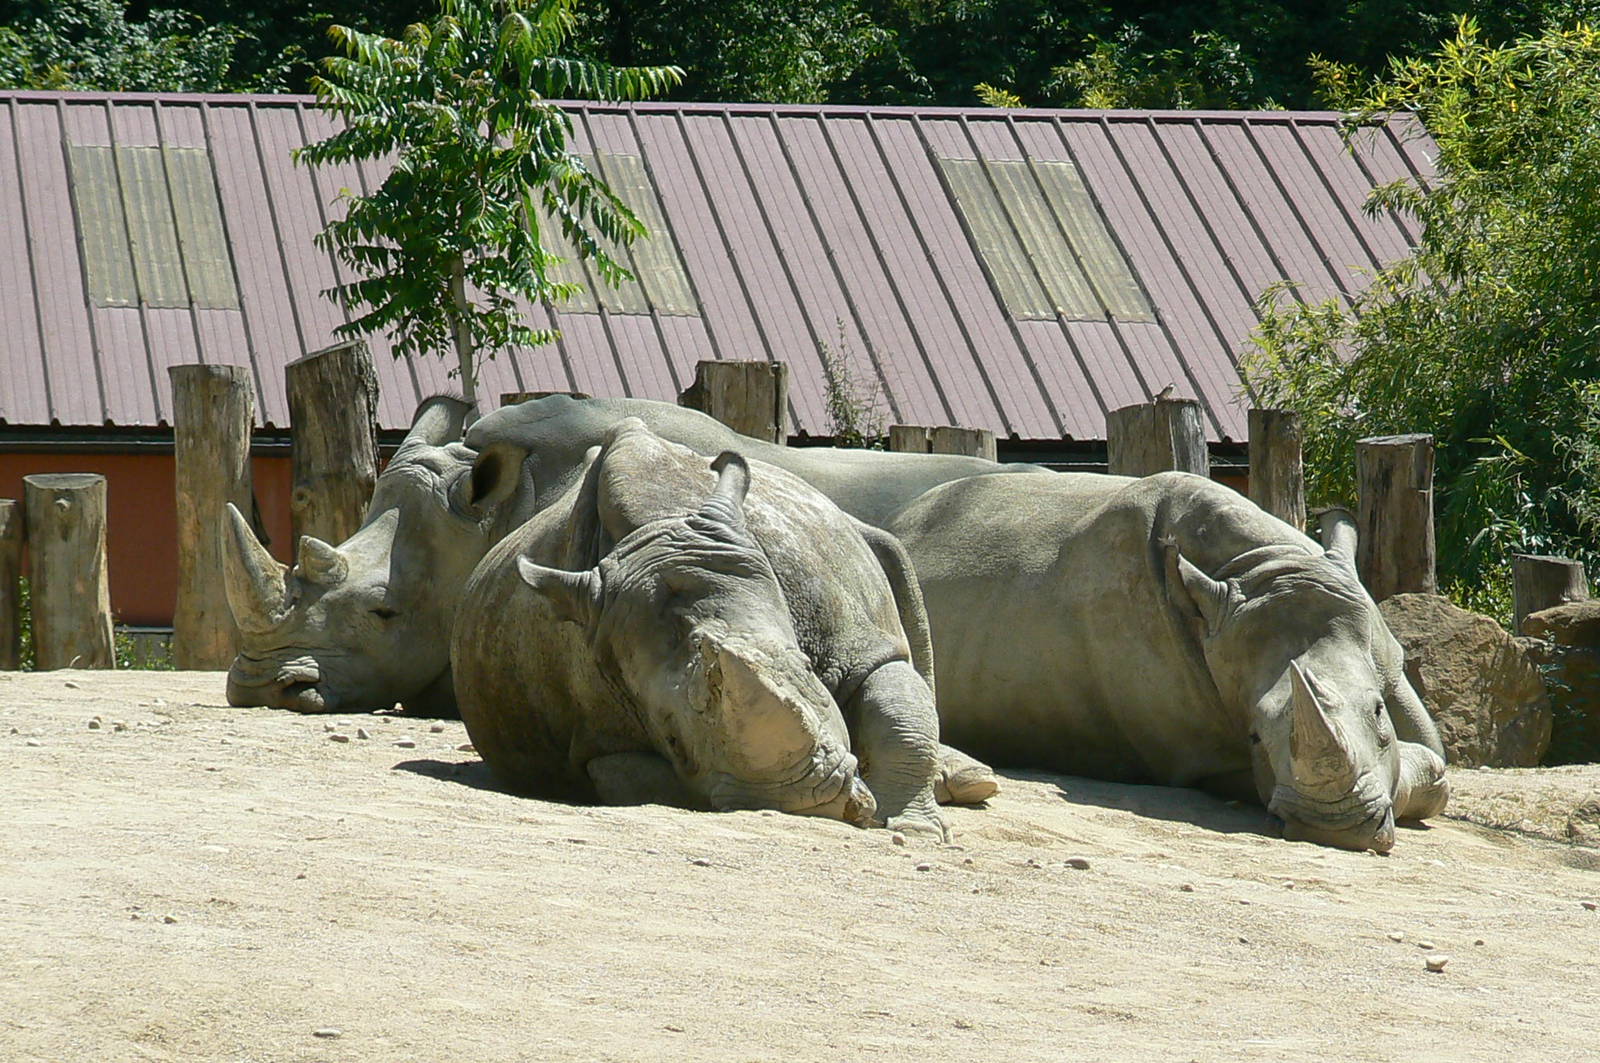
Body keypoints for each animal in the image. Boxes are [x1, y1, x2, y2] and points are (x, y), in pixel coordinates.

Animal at [451, 419, 958, 835]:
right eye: (673, 738)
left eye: (808, 669)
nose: (810, 800)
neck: (662, 521)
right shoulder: (596, 737)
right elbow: (640, 780)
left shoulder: (856, 641)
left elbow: (903, 718)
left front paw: (913, 831)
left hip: (866, 538)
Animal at [886, 470, 1450, 852]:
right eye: (1254, 737)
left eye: (1379, 713)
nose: (1331, 826)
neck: (1263, 568)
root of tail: (901, 517)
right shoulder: (1201, 757)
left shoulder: (1387, 662)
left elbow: (1434, 773)